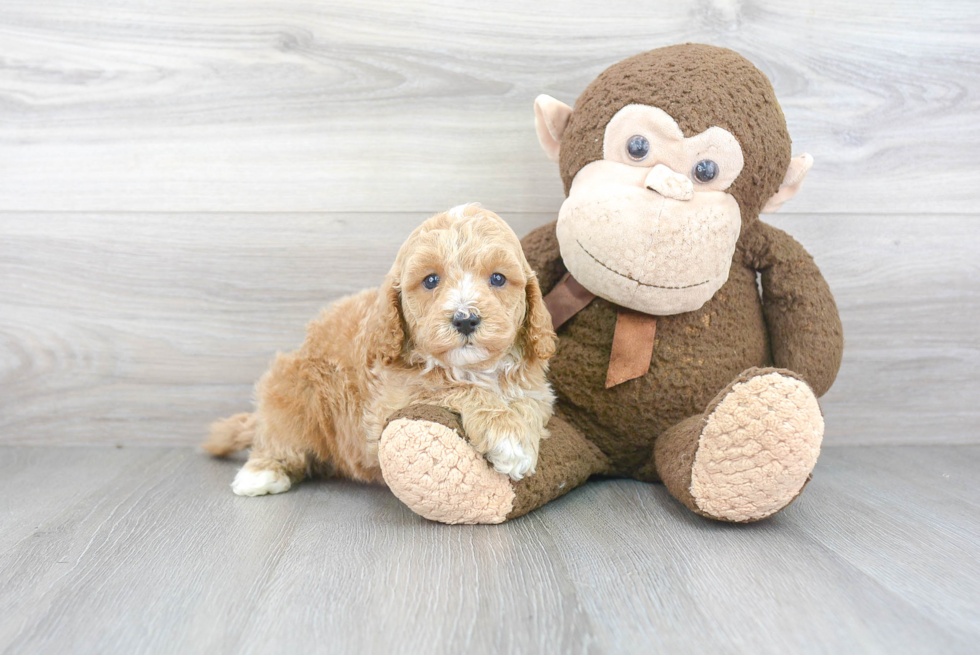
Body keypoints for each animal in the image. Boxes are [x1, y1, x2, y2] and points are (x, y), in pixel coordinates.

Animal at [205, 205, 560, 498]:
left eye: (498, 278)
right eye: (431, 280)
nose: (465, 319)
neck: (473, 367)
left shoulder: (536, 388)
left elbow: (529, 403)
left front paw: (520, 439)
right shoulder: (388, 402)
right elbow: (451, 387)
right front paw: (507, 436)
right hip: (293, 393)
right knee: (279, 436)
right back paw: (261, 472)